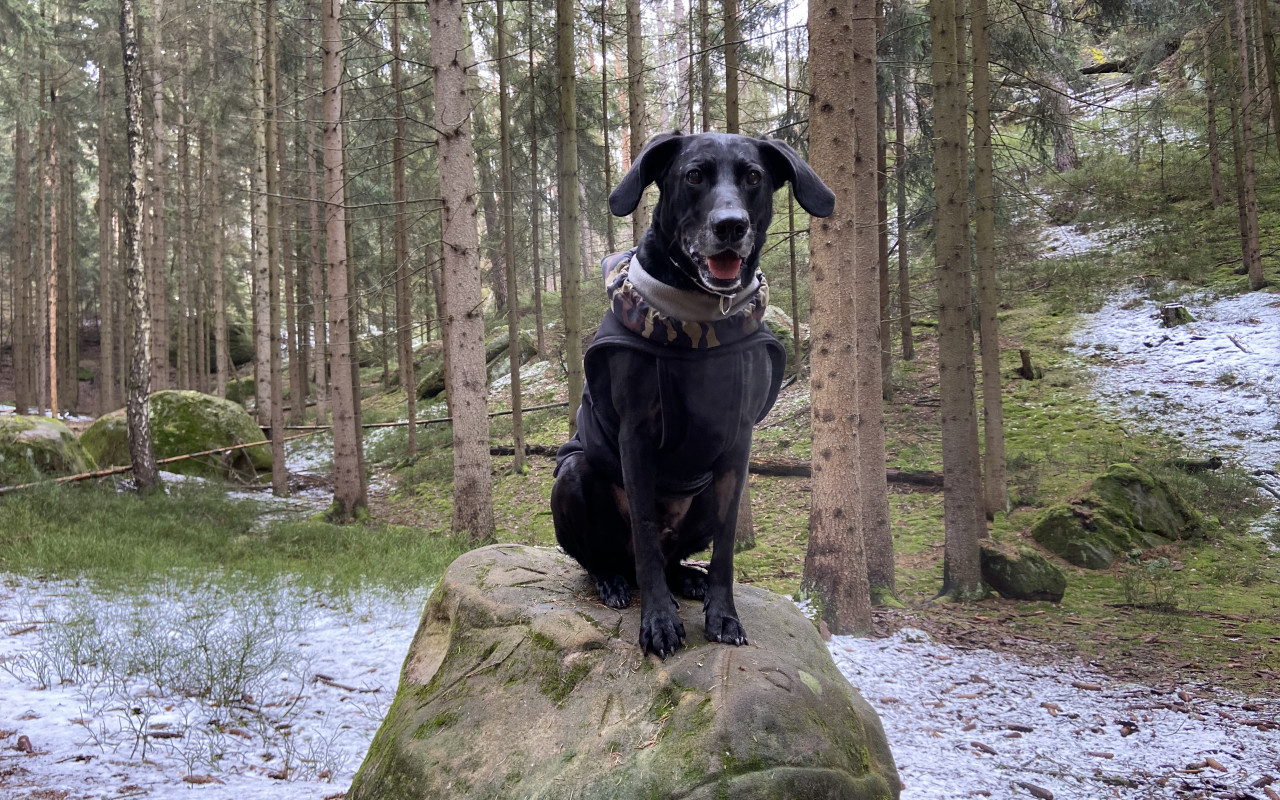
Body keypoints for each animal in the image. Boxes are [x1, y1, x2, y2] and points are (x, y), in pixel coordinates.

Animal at [547, 132, 829, 655]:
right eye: (694, 175)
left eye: (754, 177)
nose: (731, 226)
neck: (702, 314)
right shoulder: (635, 435)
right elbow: (642, 531)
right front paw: (658, 621)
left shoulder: (738, 444)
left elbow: (727, 548)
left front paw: (724, 614)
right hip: (573, 478)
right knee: (610, 558)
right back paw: (613, 580)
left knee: (672, 557)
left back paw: (687, 578)